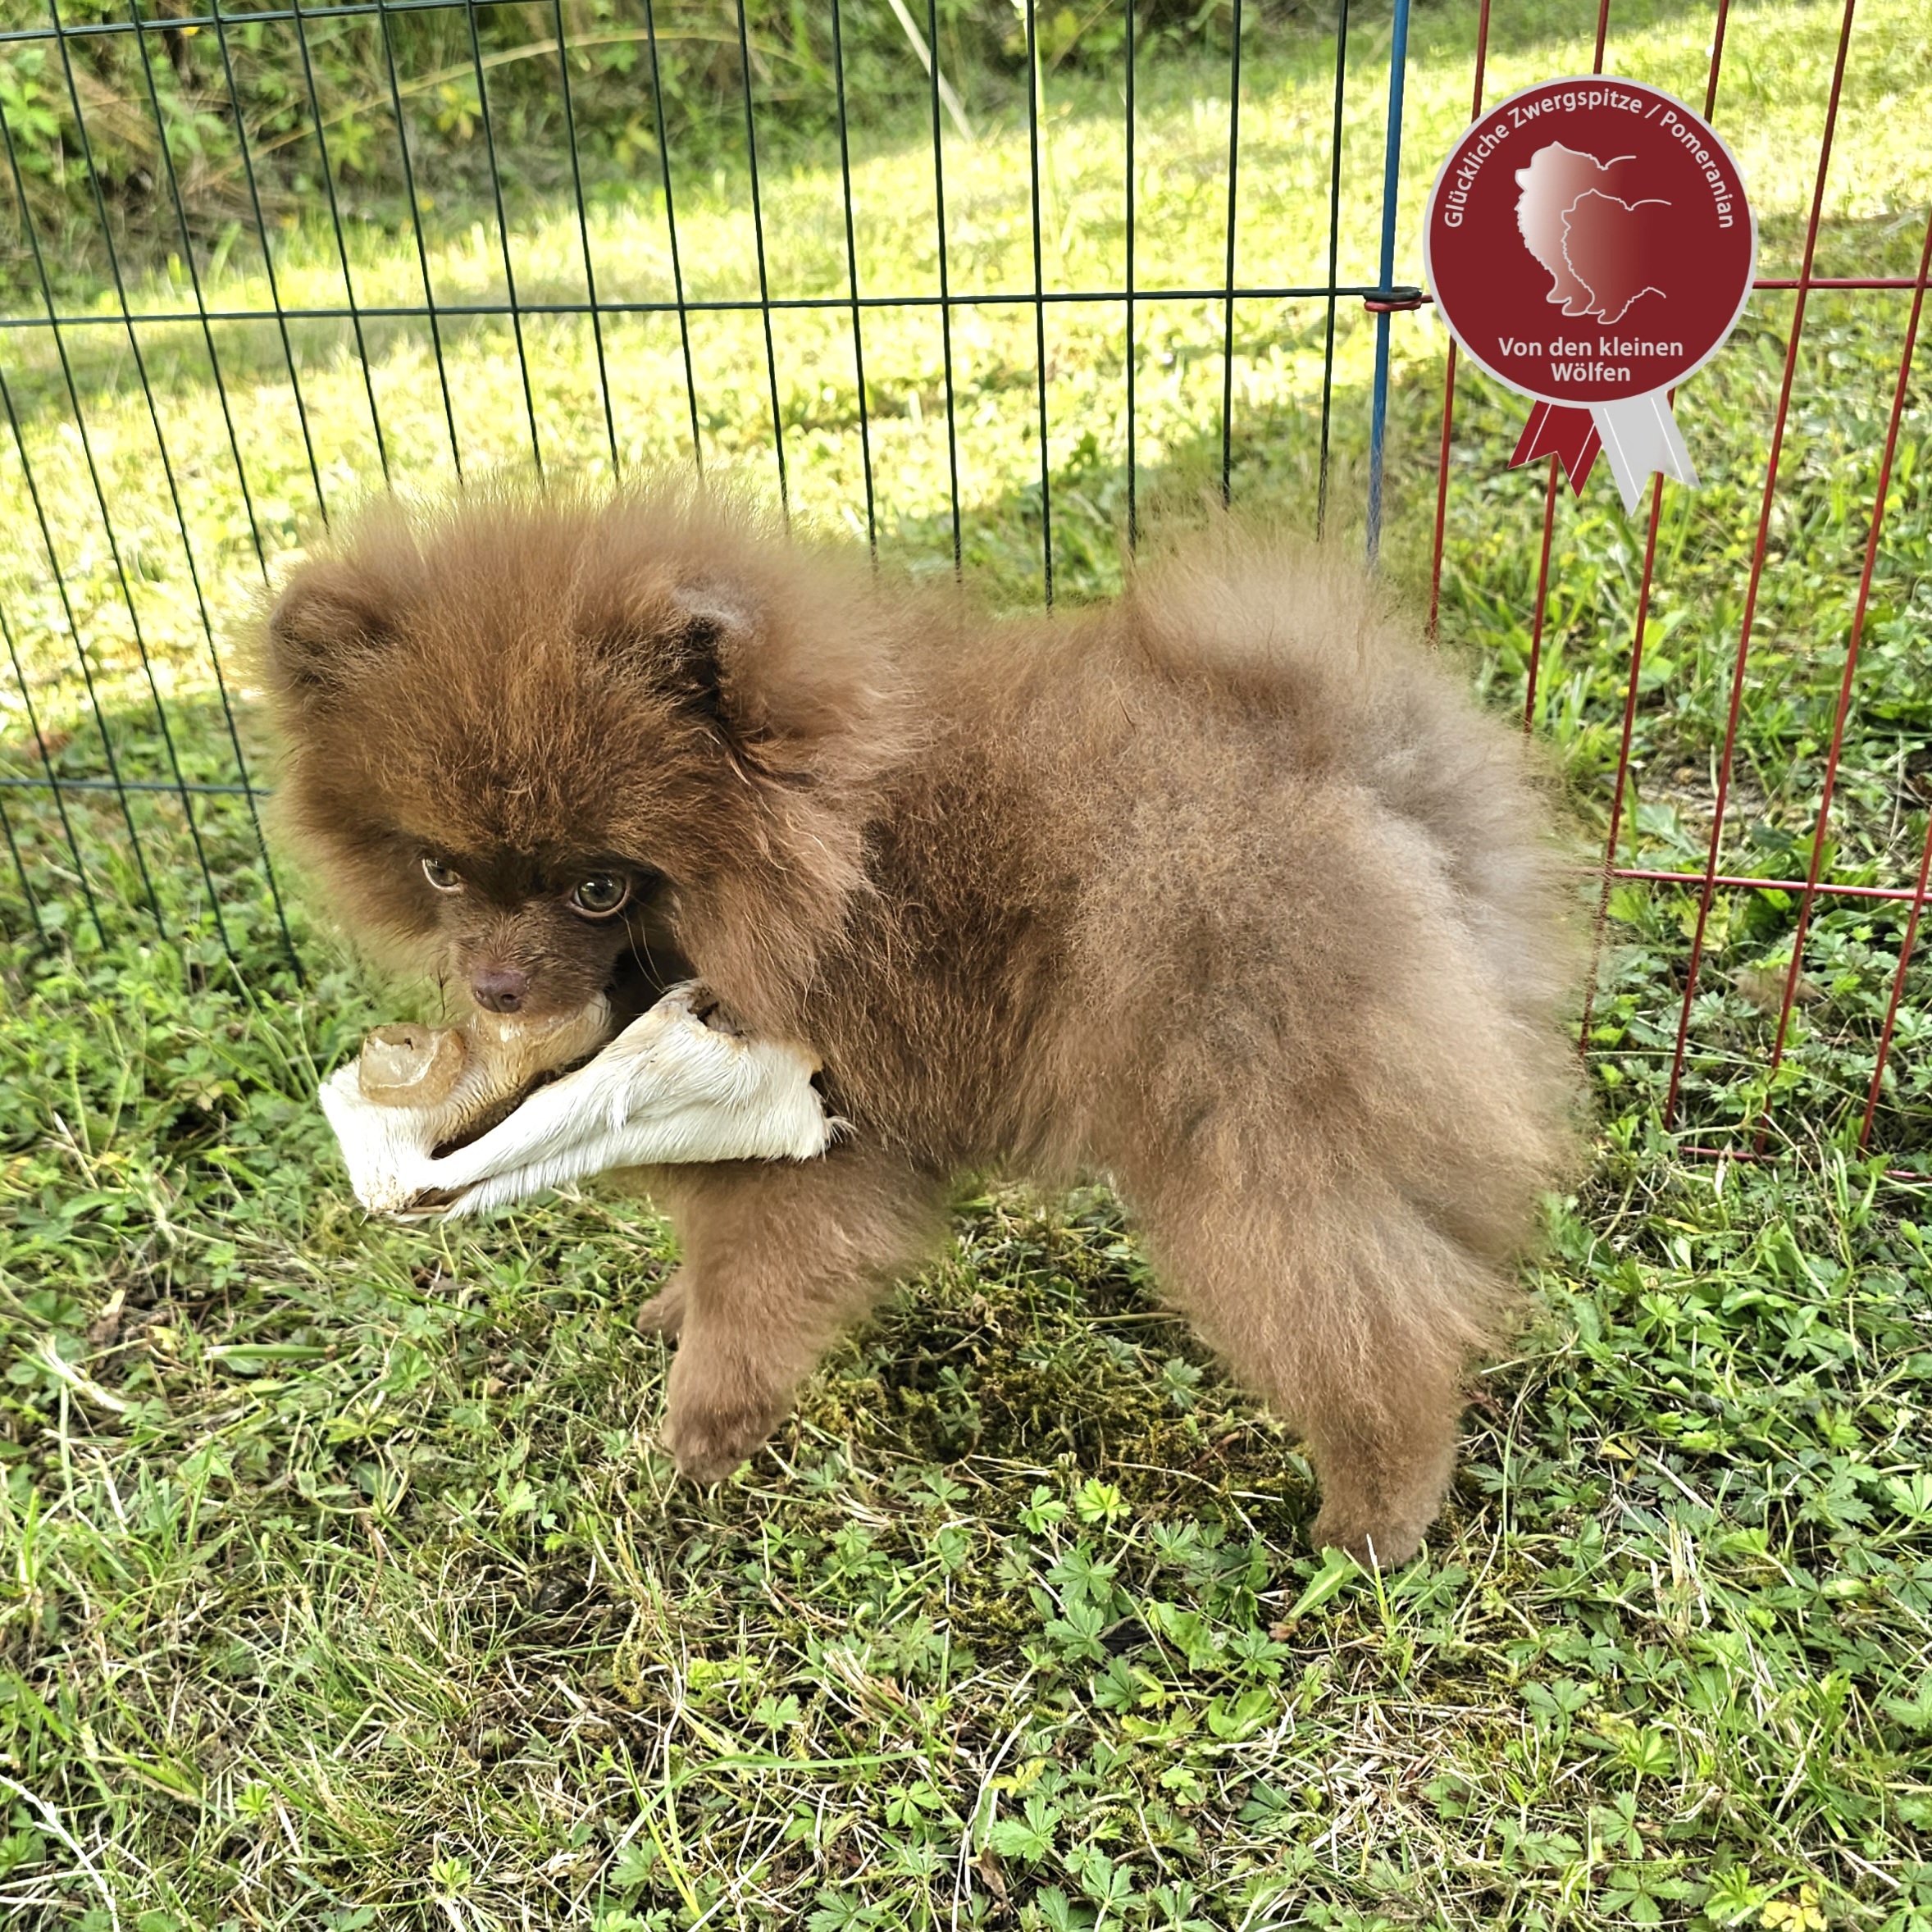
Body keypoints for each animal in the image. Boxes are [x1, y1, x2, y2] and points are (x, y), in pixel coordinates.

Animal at [260, 481, 1580, 1565]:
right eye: (440, 870)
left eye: (598, 886)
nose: (494, 985)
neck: (823, 836)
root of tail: (1348, 751)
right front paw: (675, 1320)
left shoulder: (814, 1128)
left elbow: (754, 1287)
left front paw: (699, 1431)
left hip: (1247, 1111)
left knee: (1360, 1318)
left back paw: (1376, 1518)